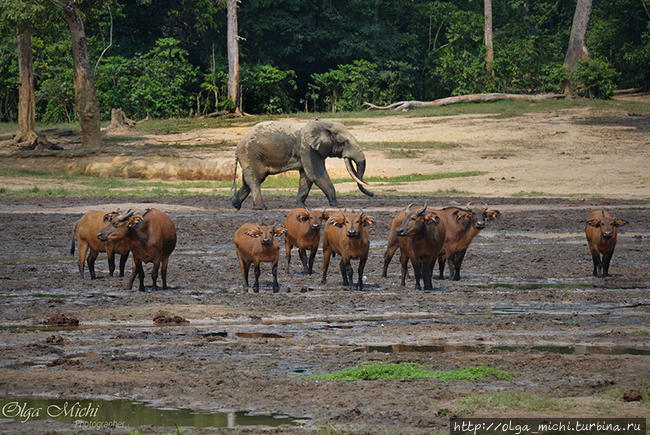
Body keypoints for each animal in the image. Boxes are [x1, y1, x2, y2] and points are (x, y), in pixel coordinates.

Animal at [230, 120, 372, 210]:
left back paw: (235, 205)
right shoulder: (307, 148)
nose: (372, 194)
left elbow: (307, 176)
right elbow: (316, 174)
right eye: (343, 142)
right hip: (250, 154)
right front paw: (337, 205)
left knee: (250, 180)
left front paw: (302, 207)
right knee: (254, 179)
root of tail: (237, 148)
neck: (323, 123)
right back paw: (261, 208)